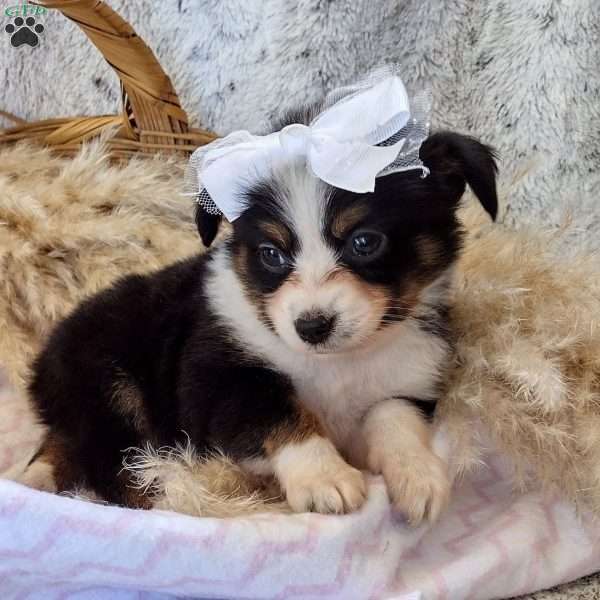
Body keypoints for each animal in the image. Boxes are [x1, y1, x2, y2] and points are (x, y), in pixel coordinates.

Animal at [24, 110, 496, 524]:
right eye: (271, 253)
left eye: (365, 242)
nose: (312, 327)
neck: (338, 363)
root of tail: (41, 366)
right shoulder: (218, 379)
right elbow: (277, 408)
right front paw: (325, 481)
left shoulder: (411, 382)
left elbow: (393, 418)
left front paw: (419, 479)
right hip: (109, 389)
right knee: (112, 468)